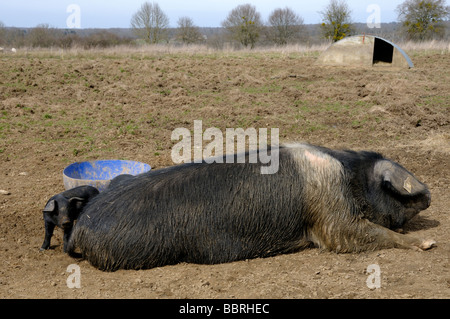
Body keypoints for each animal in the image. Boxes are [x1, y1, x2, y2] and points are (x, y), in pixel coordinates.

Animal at [67, 144, 436, 272]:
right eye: (399, 193)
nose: (431, 196)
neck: (350, 179)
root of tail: (81, 226)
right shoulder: (331, 220)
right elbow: (359, 235)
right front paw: (429, 244)